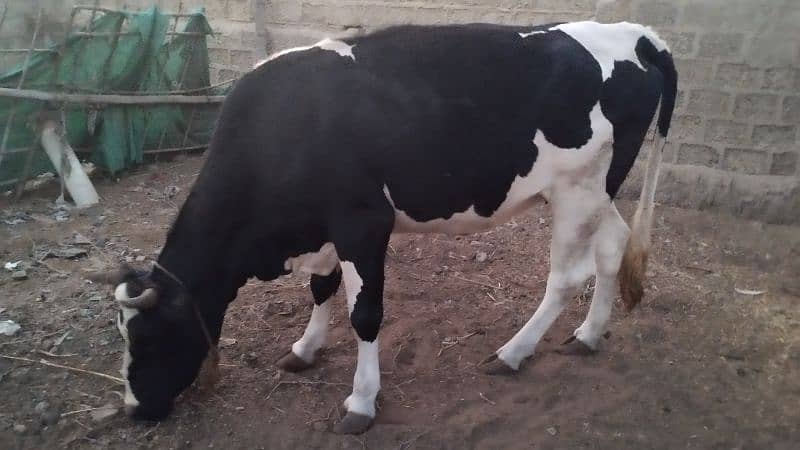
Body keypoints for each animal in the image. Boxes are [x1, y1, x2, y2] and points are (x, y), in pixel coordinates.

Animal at [89, 20, 676, 432]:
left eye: (148, 336)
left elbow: (365, 315)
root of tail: (635, 34)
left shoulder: (363, 224)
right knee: (613, 247)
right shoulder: (323, 227)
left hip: (578, 188)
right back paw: (589, 336)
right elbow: (320, 286)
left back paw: (513, 353)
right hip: (598, 188)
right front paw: (305, 349)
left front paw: (362, 401)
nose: (135, 408)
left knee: (567, 277)